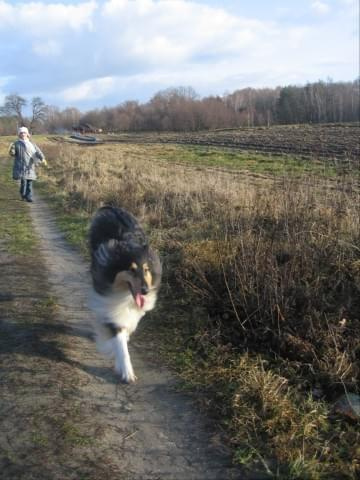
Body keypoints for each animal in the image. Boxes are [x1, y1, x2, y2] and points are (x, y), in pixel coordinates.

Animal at [88, 205, 161, 382]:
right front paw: (127, 371)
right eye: (131, 270)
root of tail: (113, 208)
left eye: (146, 269)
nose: (145, 291)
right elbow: (119, 340)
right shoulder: (110, 304)